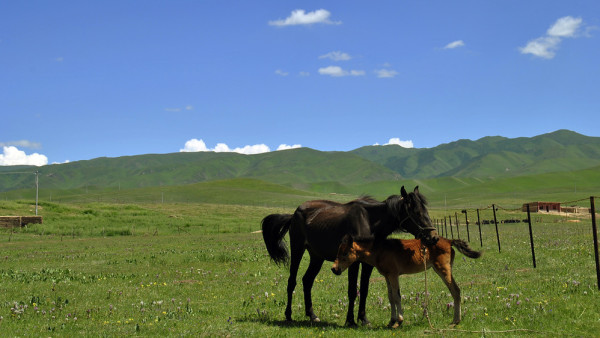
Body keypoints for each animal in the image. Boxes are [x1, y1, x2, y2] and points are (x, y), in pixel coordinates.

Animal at [262, 186, 436, 326]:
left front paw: (363, 319)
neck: (369, 222)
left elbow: (364, 290)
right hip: (297, 249)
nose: (433, 237)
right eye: (416, 212)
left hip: (317, 257)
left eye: (426, 210)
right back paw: (288, 315)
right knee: (292, 281)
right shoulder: (353, 262)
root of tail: (294, 214)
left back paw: (312, 315)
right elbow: (352, 290)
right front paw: (350, 320)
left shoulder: (368, 264)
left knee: (307, 281)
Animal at [330, 234, 480, 326]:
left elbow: (397, 297)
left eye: (345, 253)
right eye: (338, 252)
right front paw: (391, 321)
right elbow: (391, 297)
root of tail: (449, 241)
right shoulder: (387, 276)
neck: (379, 250)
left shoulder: (393, 275)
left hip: (443, 270)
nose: (334, 269)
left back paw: (455, 321)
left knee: (455, 290)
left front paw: (399, 321)